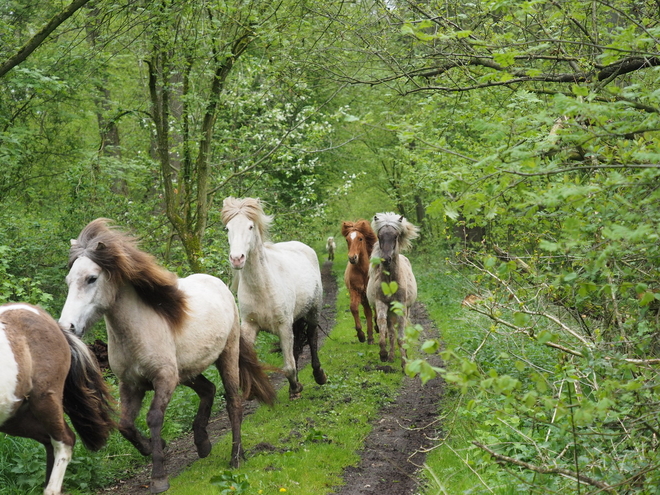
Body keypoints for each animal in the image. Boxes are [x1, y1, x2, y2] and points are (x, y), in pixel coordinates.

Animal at [56, 221, 274, 495]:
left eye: (91, 278)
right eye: (68, 281)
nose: (68, 327)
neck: (136, 333)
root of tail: (217, 283)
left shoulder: (164, 380)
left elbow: (153, 418)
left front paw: (159, 476)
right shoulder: (131, 385)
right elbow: (125, 425)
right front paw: (152, 447)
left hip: (227, 355)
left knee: (233, 401)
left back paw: (236, 457)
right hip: (186, 372)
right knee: (208, 389)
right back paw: (203, 443)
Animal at [220, 197, 326, 400]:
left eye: (250, 226)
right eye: (227, 228)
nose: (237, 259)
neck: (263, 288)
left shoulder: (283, 326)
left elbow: (289, 366)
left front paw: (295, 388)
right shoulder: (250, 326)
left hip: (313, 311)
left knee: (312, 338)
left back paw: (319, 376)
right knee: (297, 346)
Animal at [364, 213, 420, 368]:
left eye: (395, 236)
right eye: (379, 236)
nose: (385, 259)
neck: (390, 282)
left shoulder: (400, 307)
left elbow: (401, 336)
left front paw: (404, 364)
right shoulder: (381, 304)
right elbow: (383, 326)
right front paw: (383, 354)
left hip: (406, 309)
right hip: (390, 311)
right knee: (391, 332)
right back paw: (390, 356)